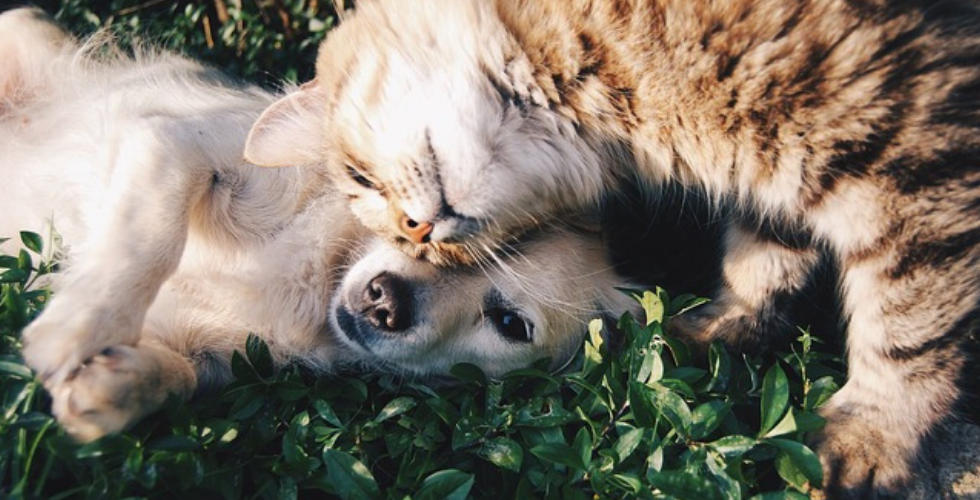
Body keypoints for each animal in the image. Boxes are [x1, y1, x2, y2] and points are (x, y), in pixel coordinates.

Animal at [0, 8, 640, 442]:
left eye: (510, 324)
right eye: (414, 228)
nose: (386, 301)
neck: (319, 276)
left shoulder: (211, 352)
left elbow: (178, 376)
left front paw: (112, 387)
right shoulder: (175, 144)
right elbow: (148, 238)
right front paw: (78, 327)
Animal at [243, 0, 980, 496]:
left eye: (360, 178)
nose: (418, 232)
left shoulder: (911, 151)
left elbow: (907, 326)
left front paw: (873, 435)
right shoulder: (783, 173)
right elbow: (765, 253)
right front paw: (725, 326)